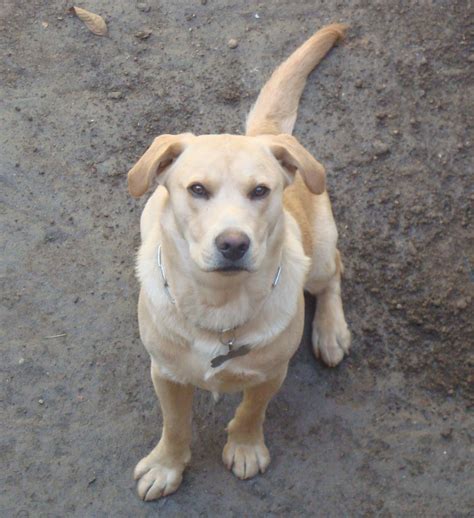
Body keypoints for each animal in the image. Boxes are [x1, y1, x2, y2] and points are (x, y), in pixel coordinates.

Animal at [128, 24, 350, 504]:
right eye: (197, 189)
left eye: (260, 191)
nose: (233, 243)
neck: (220, 305)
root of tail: (265, 133)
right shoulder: (166, 374)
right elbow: (175, 425)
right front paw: (166, 465)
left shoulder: (271, 373)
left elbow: (251, 409)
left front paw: (246, 447)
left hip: (321, 253)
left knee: (333, 275)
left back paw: (331, 330)